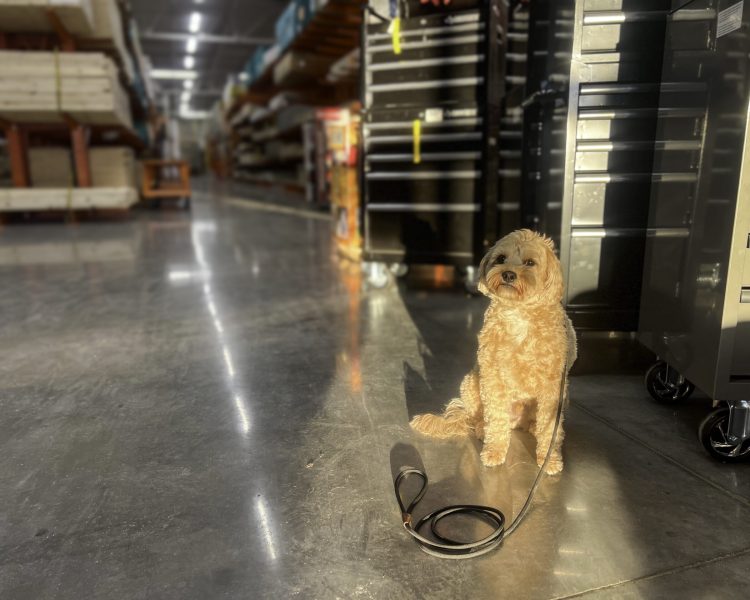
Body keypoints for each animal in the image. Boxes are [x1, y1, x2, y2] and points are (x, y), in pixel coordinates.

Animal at [414, 230, 580, 474]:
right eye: (501, 258)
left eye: (530, 263)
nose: (508, 274)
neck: (519, 314)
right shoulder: (493, 378)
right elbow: (496, 420)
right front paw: (494, 451)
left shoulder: (553, 389)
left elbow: (550, 429)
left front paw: (548, 460)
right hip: (471, 383)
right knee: (479, 418)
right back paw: (481, 428)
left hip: (562, 399)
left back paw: (532, 426)